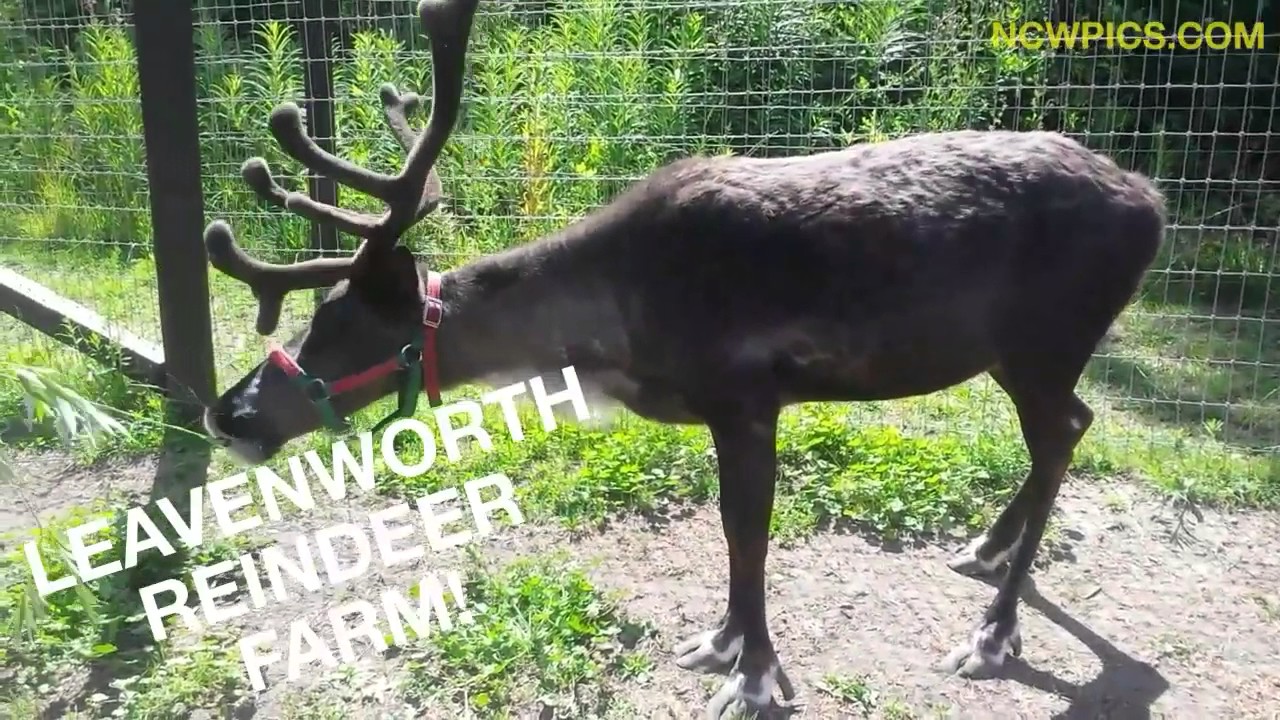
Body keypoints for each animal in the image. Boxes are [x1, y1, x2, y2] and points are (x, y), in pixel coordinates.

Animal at [199, 0, 1166, 715]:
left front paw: (756, 674)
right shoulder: (716, 413)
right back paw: (988, 548)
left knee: (1060, 434)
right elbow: (732, 535)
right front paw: (726, 641)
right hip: (1013, 355)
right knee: (1070, 427)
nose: (227, 412)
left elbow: (747, 532)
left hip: (1044, 344)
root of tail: (1153, 202)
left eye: (335, 323)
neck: (613, 324)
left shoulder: (747, 400)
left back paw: (993, 632)